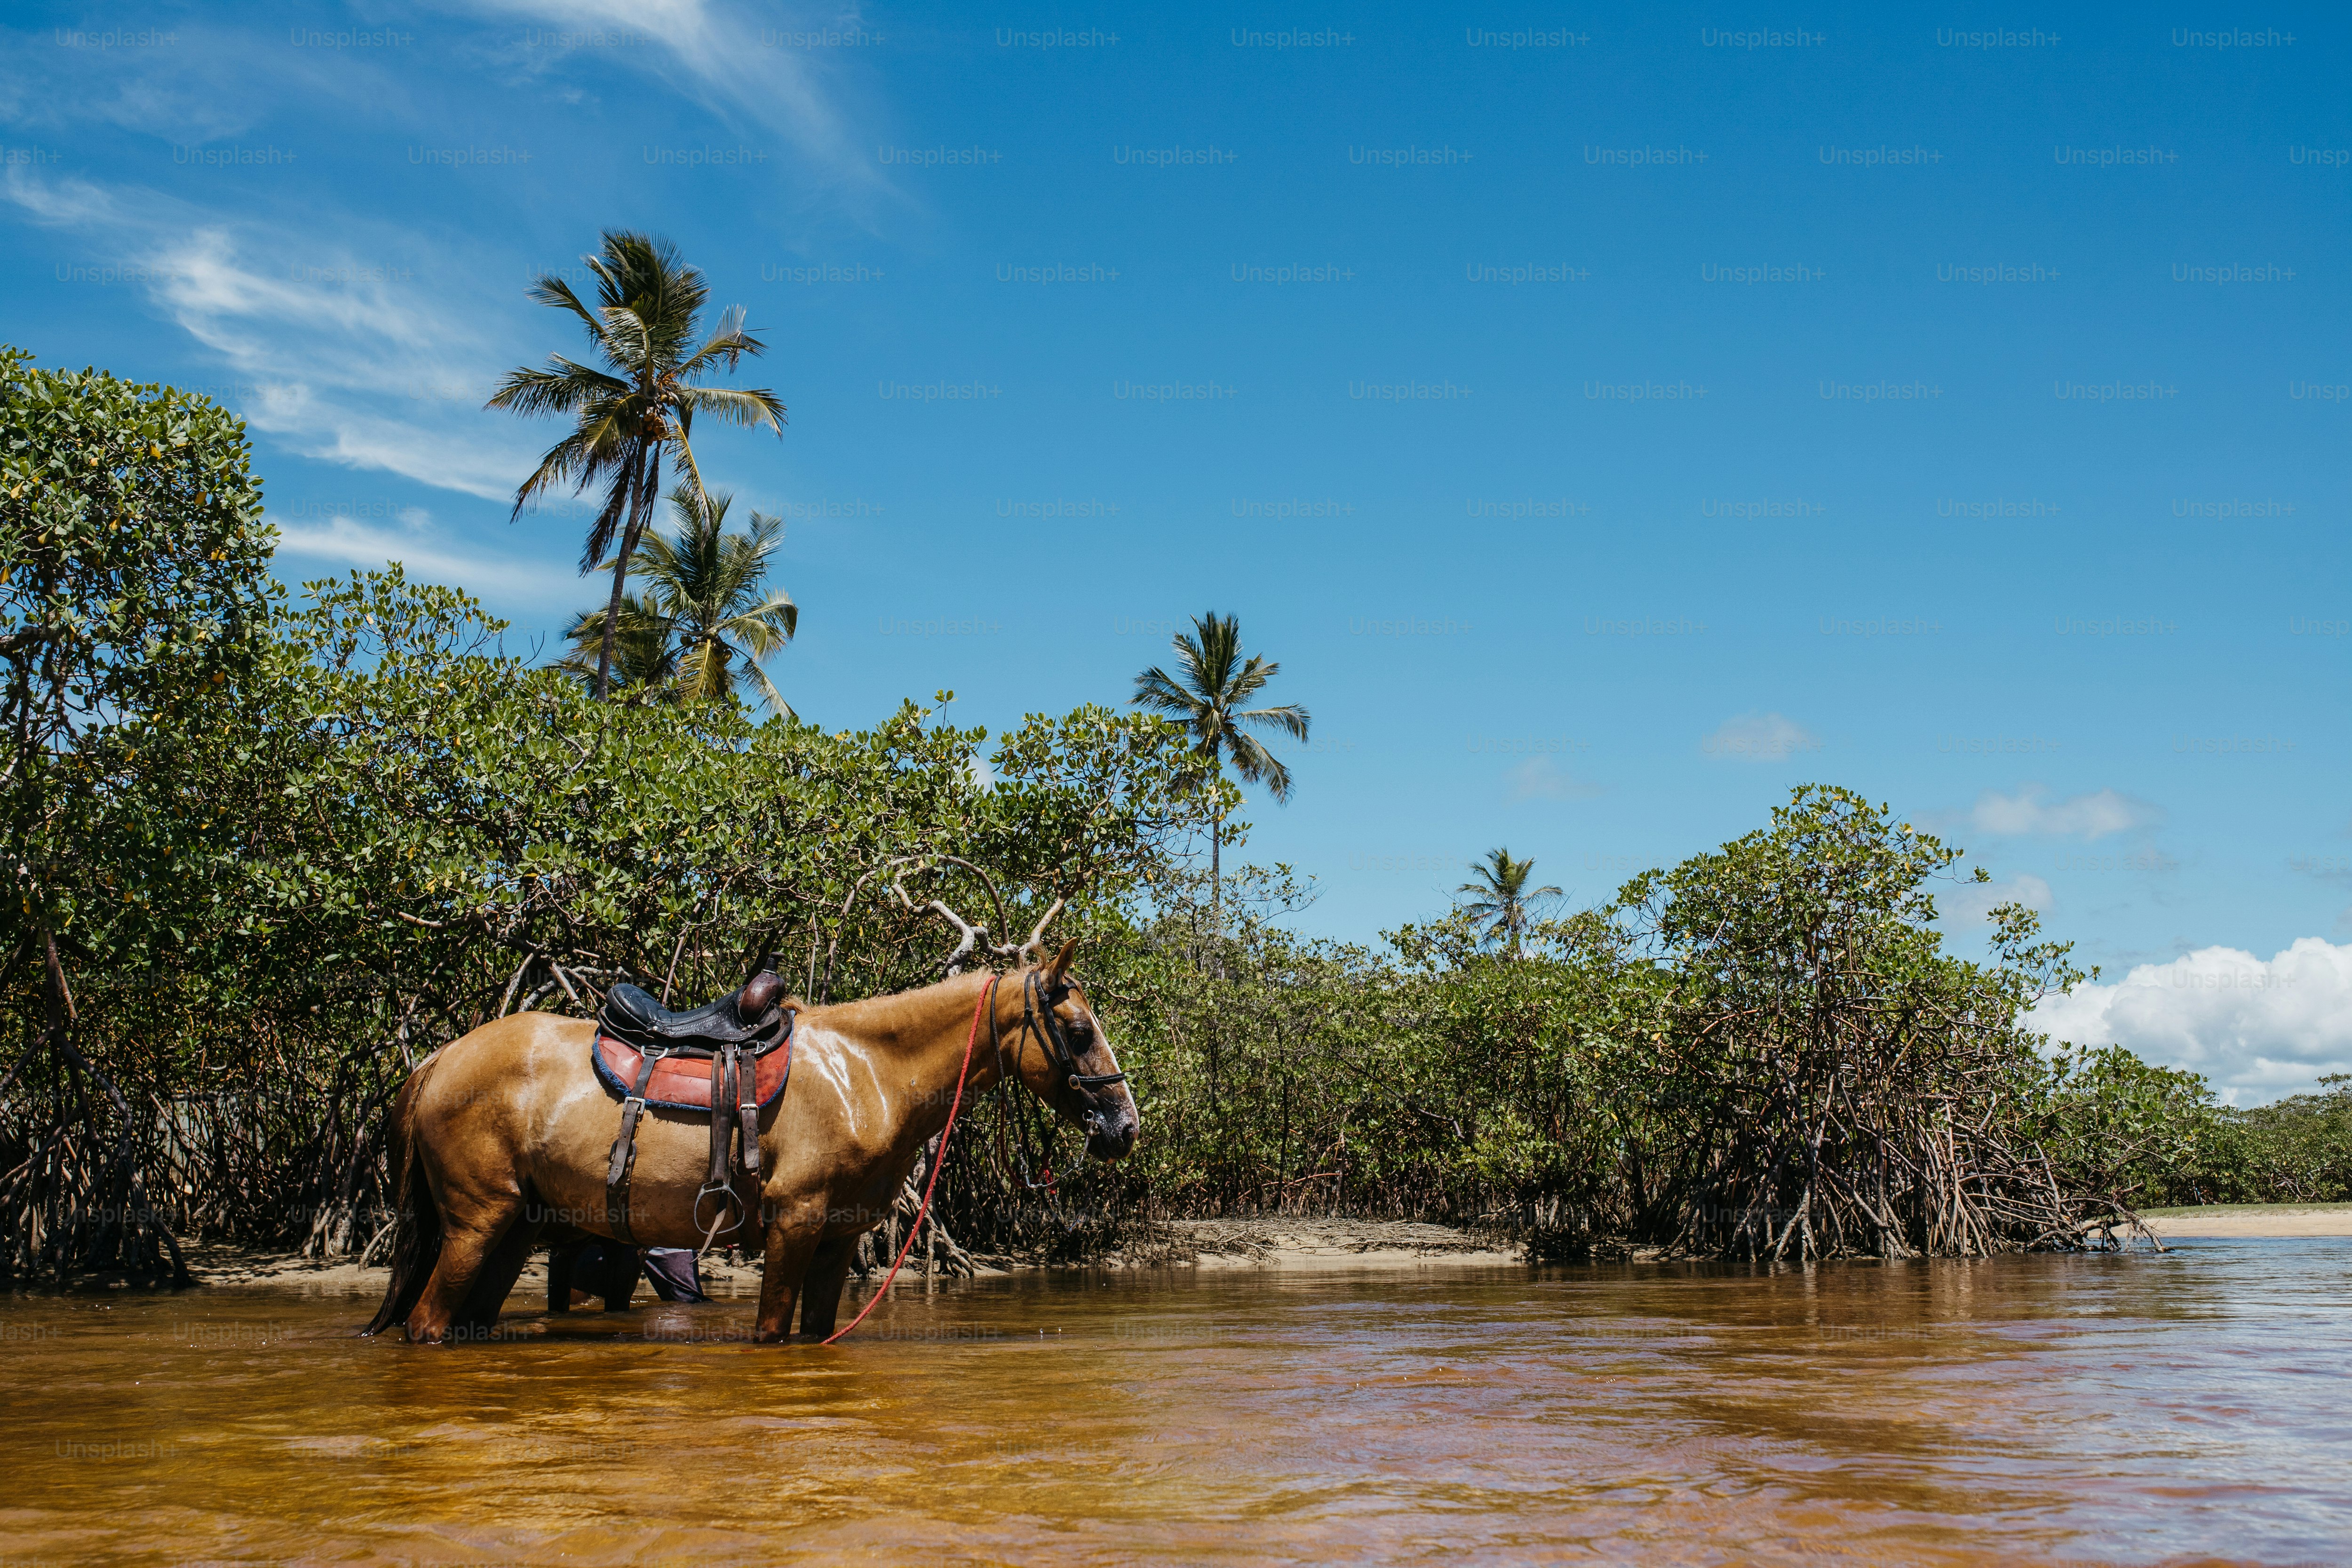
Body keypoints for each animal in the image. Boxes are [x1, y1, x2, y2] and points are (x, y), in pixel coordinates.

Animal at [360, 940, 1137, 1344]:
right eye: (1077, 1031)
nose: (1126, 1127)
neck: (867, 1074)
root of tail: (436, 1060)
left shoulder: (838, 1237)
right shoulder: (795, 1223)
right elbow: (771, 1333)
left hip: (517, 1229)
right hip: (476, 1222)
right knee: (425, 1323)